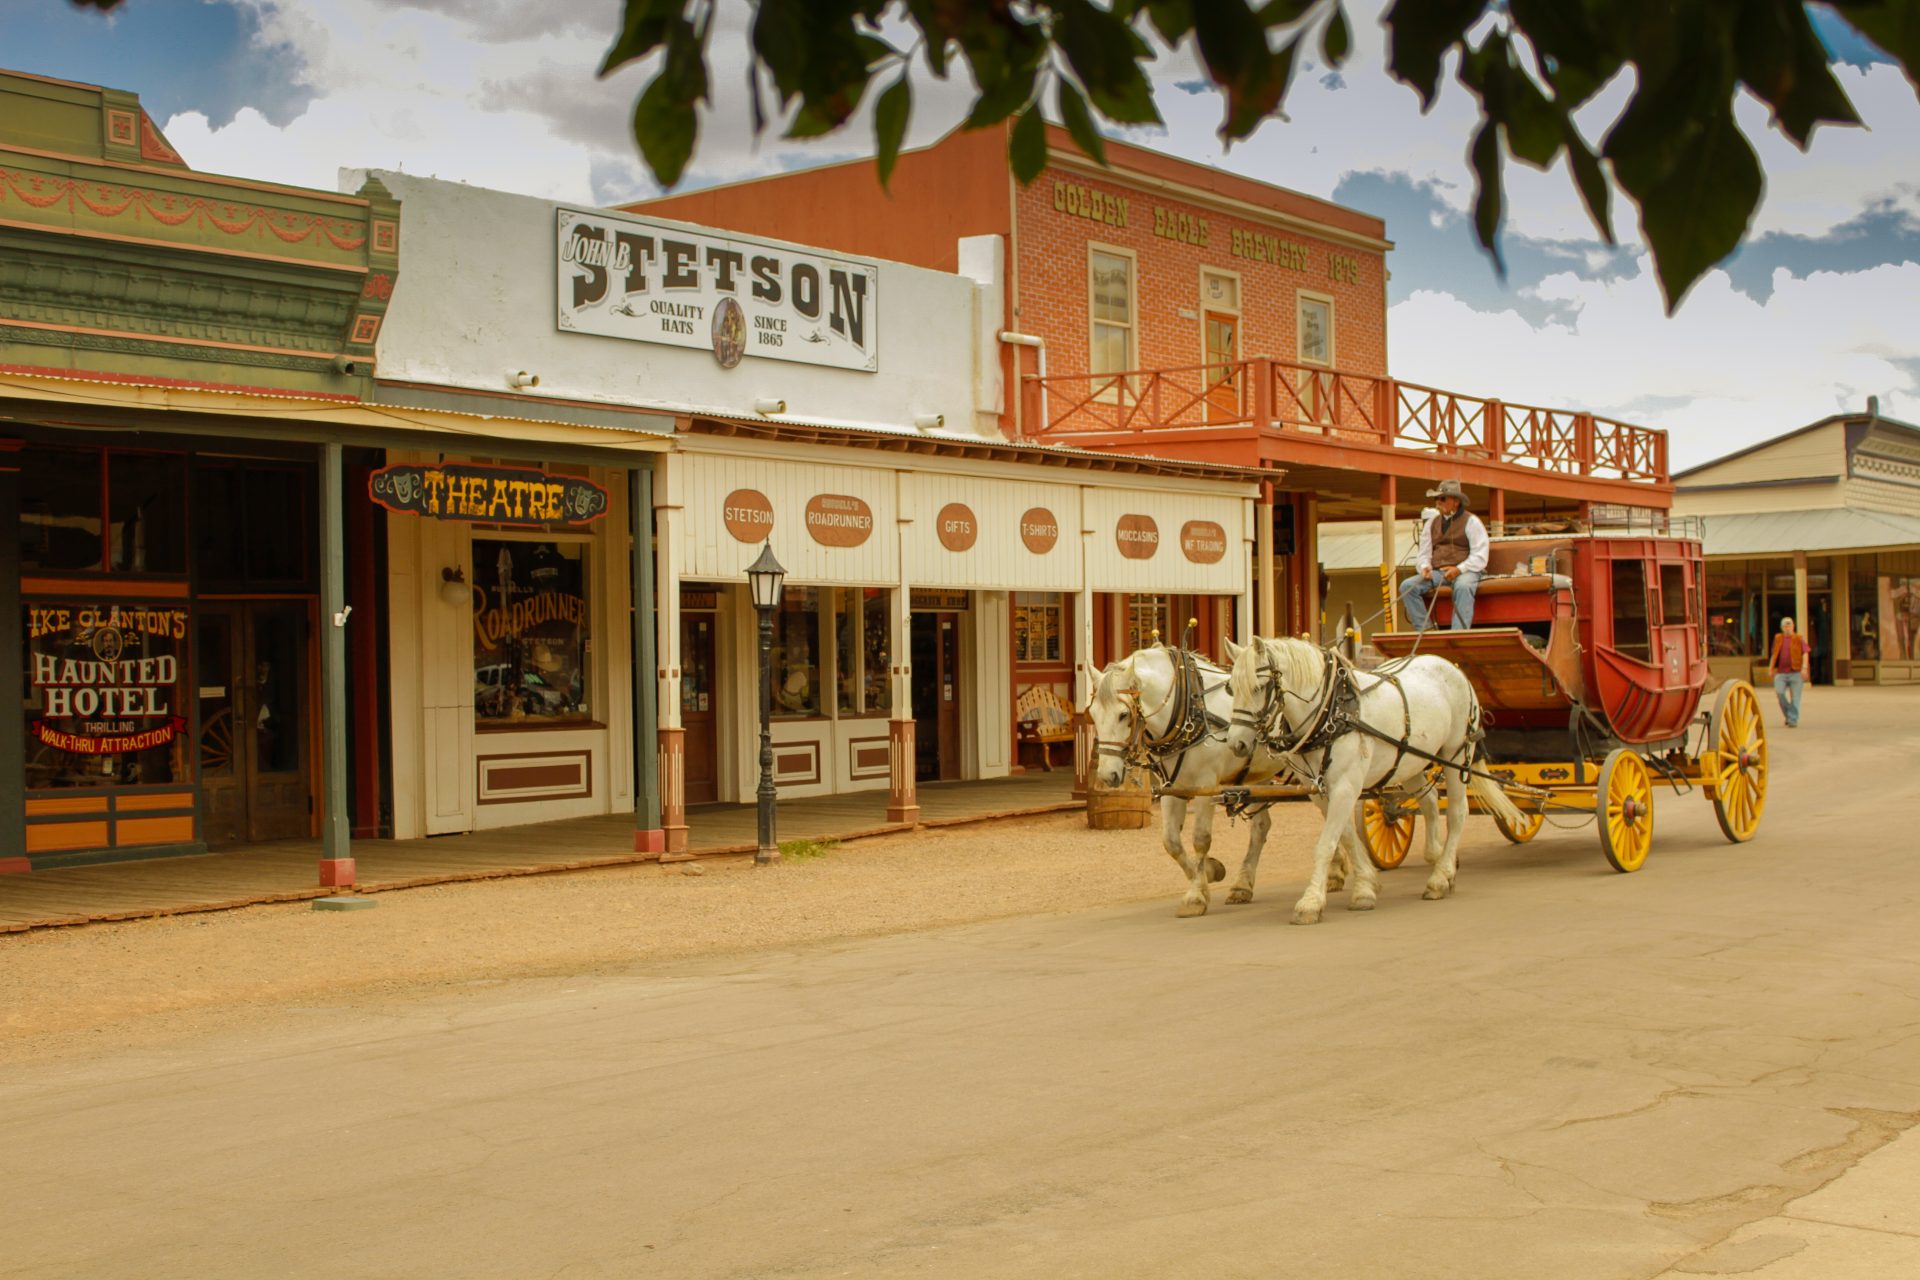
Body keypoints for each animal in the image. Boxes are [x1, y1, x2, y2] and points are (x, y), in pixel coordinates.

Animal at [1090, 644, 1359, 917]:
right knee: (1262, 826)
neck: (1187, 707)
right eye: (1092, 714)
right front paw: (1207, 874)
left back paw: (1334, 872)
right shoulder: (1172, 788)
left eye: (1123, 714)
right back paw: (1244, 885)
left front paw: (1196, 895)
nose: (1106, 775)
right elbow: (1171, 842)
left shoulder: (1206, 785)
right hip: (1260, 776)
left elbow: (1200, 839)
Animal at [1221, 637, 1520, 921]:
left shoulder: (1345, 786)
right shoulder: (1321, 792)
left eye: (1259, 687)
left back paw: (1440, 876)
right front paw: (1366, 886)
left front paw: (1311, 902)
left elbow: (1326, 844)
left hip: (1456, 754)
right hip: (1411, 760)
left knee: (1457, 813)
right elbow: (1346, 837)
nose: (1237, 744)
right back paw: (1437, 859)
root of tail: (1453, 668)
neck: (1332, 712)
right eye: (1231, 689)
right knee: (1431, 802)